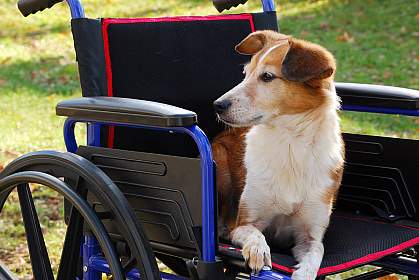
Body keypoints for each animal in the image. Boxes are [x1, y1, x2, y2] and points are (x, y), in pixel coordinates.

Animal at [212, 29, 346, 278]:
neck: (290, 141)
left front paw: (303, 273)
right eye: (246, 73)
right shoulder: (245, 223)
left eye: (267, 77)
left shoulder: (309, 235)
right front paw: (258, 250)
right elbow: (255, 234)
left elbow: (315, 256)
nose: (217, 105)